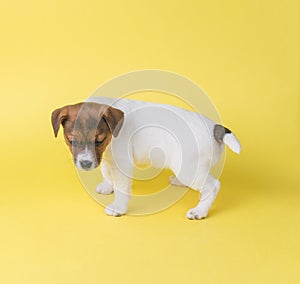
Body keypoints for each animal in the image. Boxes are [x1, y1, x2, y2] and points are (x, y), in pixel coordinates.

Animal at [50, 97, 240, 220]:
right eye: (72, 141)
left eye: (99, 141)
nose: (86, 164)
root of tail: (216, 128)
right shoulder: (106, 157)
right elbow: (106, 172)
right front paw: (107, 186)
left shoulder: (121, 164)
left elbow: (121, 188)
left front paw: (118, 208)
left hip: (189, 168)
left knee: (212, 186)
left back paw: (200, 211)